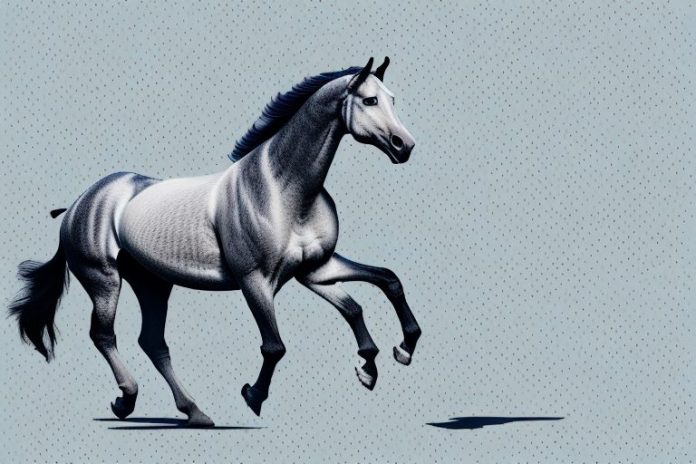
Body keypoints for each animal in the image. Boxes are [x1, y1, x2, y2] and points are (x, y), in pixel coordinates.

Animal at [9, 57, 421, 427]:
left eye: (392, 98)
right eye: (370, 100)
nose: (405, 146)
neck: (282, 191)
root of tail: (79, 203)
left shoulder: (315, 269)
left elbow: (377, 288)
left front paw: (385, 359)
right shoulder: (255, 281)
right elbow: (275, 346)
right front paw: (253, 396)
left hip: (152, 283)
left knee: (152, 342)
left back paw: (194, 412)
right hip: (103, 280)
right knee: (104, 335)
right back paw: (126, 400)